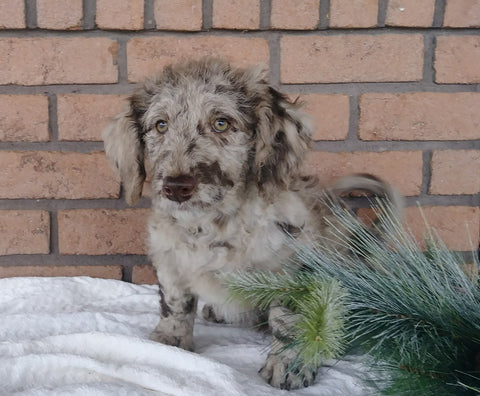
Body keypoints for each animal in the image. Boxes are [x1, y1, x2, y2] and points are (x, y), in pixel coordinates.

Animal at [102, 58, 402, 390]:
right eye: (160, 125)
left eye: (221, 123)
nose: (176, 188)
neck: (213, 223)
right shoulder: (169, 258)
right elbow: (175, 302)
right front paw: (169, 341)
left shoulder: (295, 267)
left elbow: (291, 321)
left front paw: (289, 365)